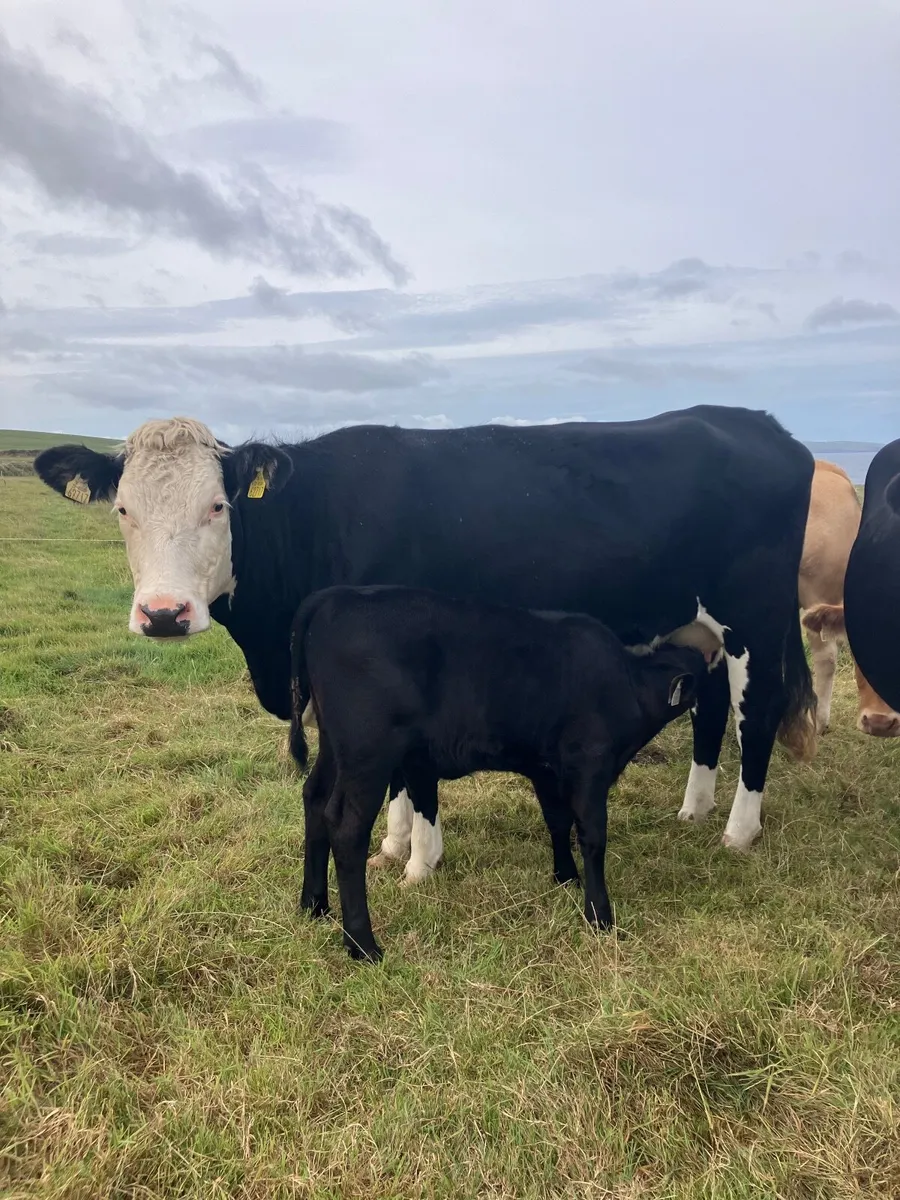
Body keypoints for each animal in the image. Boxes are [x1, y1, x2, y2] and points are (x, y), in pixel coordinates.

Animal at [34, 405, 817, 878]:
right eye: (123, 509)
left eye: (218, 505)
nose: (164, 614)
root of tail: (759, 424)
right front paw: (393, 844)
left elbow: (413, 772)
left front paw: (418, 860)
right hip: (701, 627)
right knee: (709, 709)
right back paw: (694, 809)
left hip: (754, 619)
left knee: (757, 713)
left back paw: (738, 831)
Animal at [288, 584, 711, 961]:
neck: (628, 685)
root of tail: (334, 596)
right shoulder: (590, 765)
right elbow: (592, 836)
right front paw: (599, 915)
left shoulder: (547, 769)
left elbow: (557, 822)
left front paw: (565, 877)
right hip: (368, 753)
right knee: (347, 827)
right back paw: (362, 945)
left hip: (335, 746)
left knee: (315, 799)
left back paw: (315, 906)